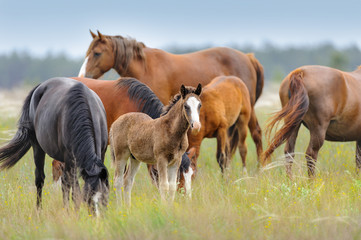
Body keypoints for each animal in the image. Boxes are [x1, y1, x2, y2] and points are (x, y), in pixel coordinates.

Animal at [0, 78, 108, 214]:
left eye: (103, 197)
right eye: (88, 198)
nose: (97, 217)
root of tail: (40, 86)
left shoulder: (101, 153)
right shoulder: (70, 159)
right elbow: (75, 191)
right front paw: (75, 213)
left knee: (65, 182)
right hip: (38, 148)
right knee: (40, 179)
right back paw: (39, 210)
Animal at [78, 29, 264, 165]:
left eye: (97, 53)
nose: (82, 75)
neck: (146, 67)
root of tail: (248, 57)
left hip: (247, 111)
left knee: (255, 134)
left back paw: (259, 169)